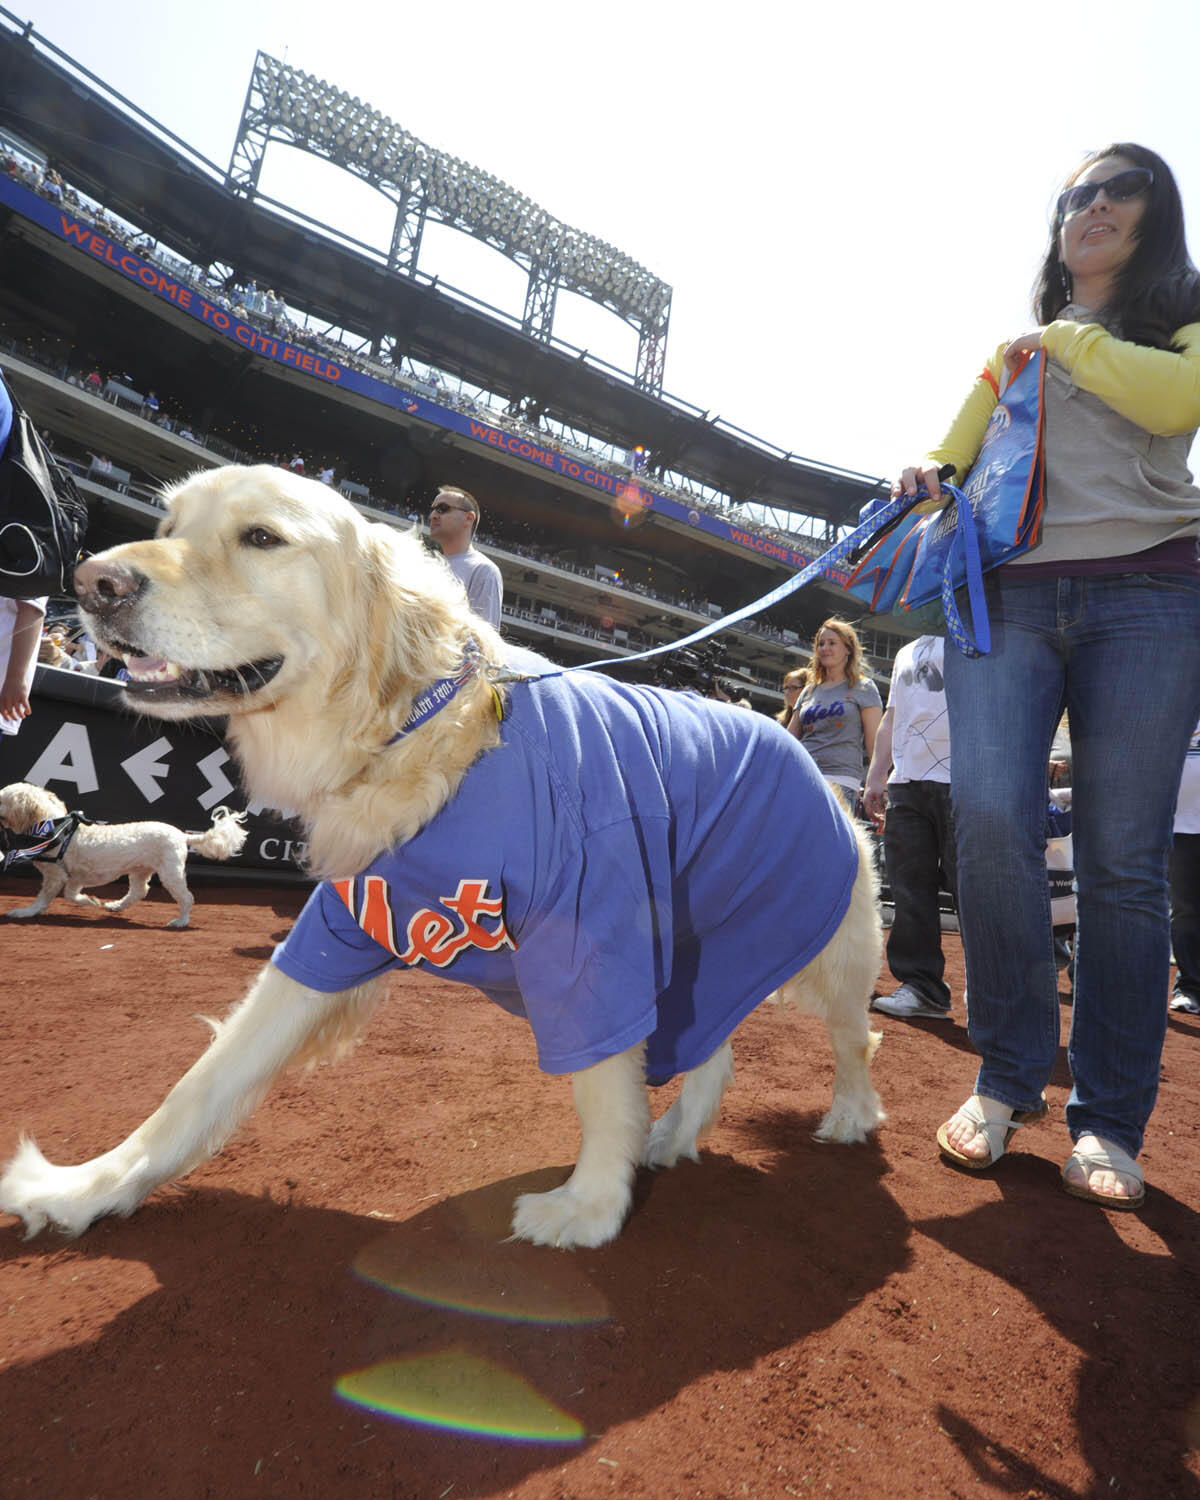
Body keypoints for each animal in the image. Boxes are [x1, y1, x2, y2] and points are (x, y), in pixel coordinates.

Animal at [0, 780, 247, 930]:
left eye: (1, 798)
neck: (56, 828)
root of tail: (181, 835)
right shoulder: (74, 877)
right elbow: (71, 895)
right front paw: (90, 901)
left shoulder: (55, 875)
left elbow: (43, 899)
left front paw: (25, 912)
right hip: (140, 870)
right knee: (140, 891)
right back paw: (116, 906)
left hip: (170, 872)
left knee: (186, 897)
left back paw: (181, 921)